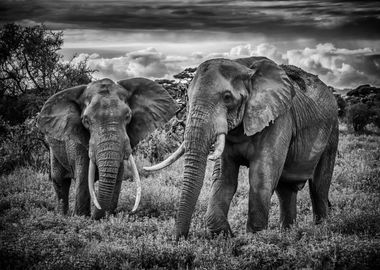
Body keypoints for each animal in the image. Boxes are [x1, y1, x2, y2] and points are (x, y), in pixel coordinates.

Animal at [37, 77, 177, 218]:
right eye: (86, 120)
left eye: (128, 116)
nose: (95, 216)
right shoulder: (77, 141)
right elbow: (83, 179)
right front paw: (82, 217)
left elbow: (117, 179)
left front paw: (108, 217)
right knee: (60, 181)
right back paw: (62, 216)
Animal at [145, 56, 338, 238]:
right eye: (187, 98)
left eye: (227, 97)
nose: (180, 239)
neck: (244, 66)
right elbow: (224, 179)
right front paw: (228, 237)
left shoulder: (279, 118)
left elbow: (261, 176)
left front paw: (255, 240)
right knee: (286, 190)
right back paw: (288, 234)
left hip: (332, 128)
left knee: (319, 186)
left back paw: (321, 230)